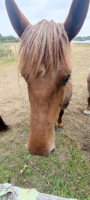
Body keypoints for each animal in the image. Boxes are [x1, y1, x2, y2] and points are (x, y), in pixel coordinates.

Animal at [5, 0, 89, 156]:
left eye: (67, 77)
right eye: (24, 76)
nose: (39, 149)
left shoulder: (66, 103)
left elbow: (61, 112)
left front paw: (59, 124)